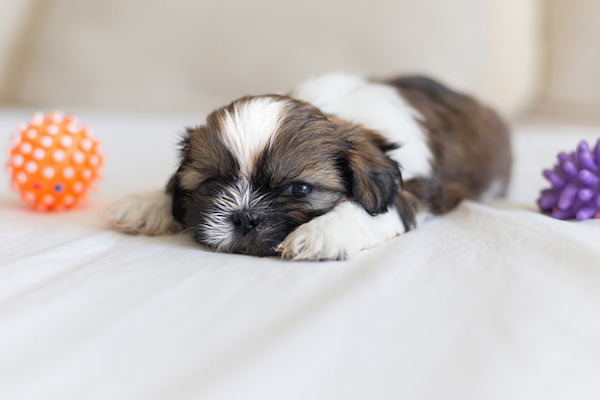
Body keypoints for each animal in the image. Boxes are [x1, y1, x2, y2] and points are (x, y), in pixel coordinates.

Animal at [104, 72, 510, 260]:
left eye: (299, 189)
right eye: (212, 184)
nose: (244, 217)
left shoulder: (405, 191)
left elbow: (365, 211)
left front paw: (320, 233)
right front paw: (145, 204)